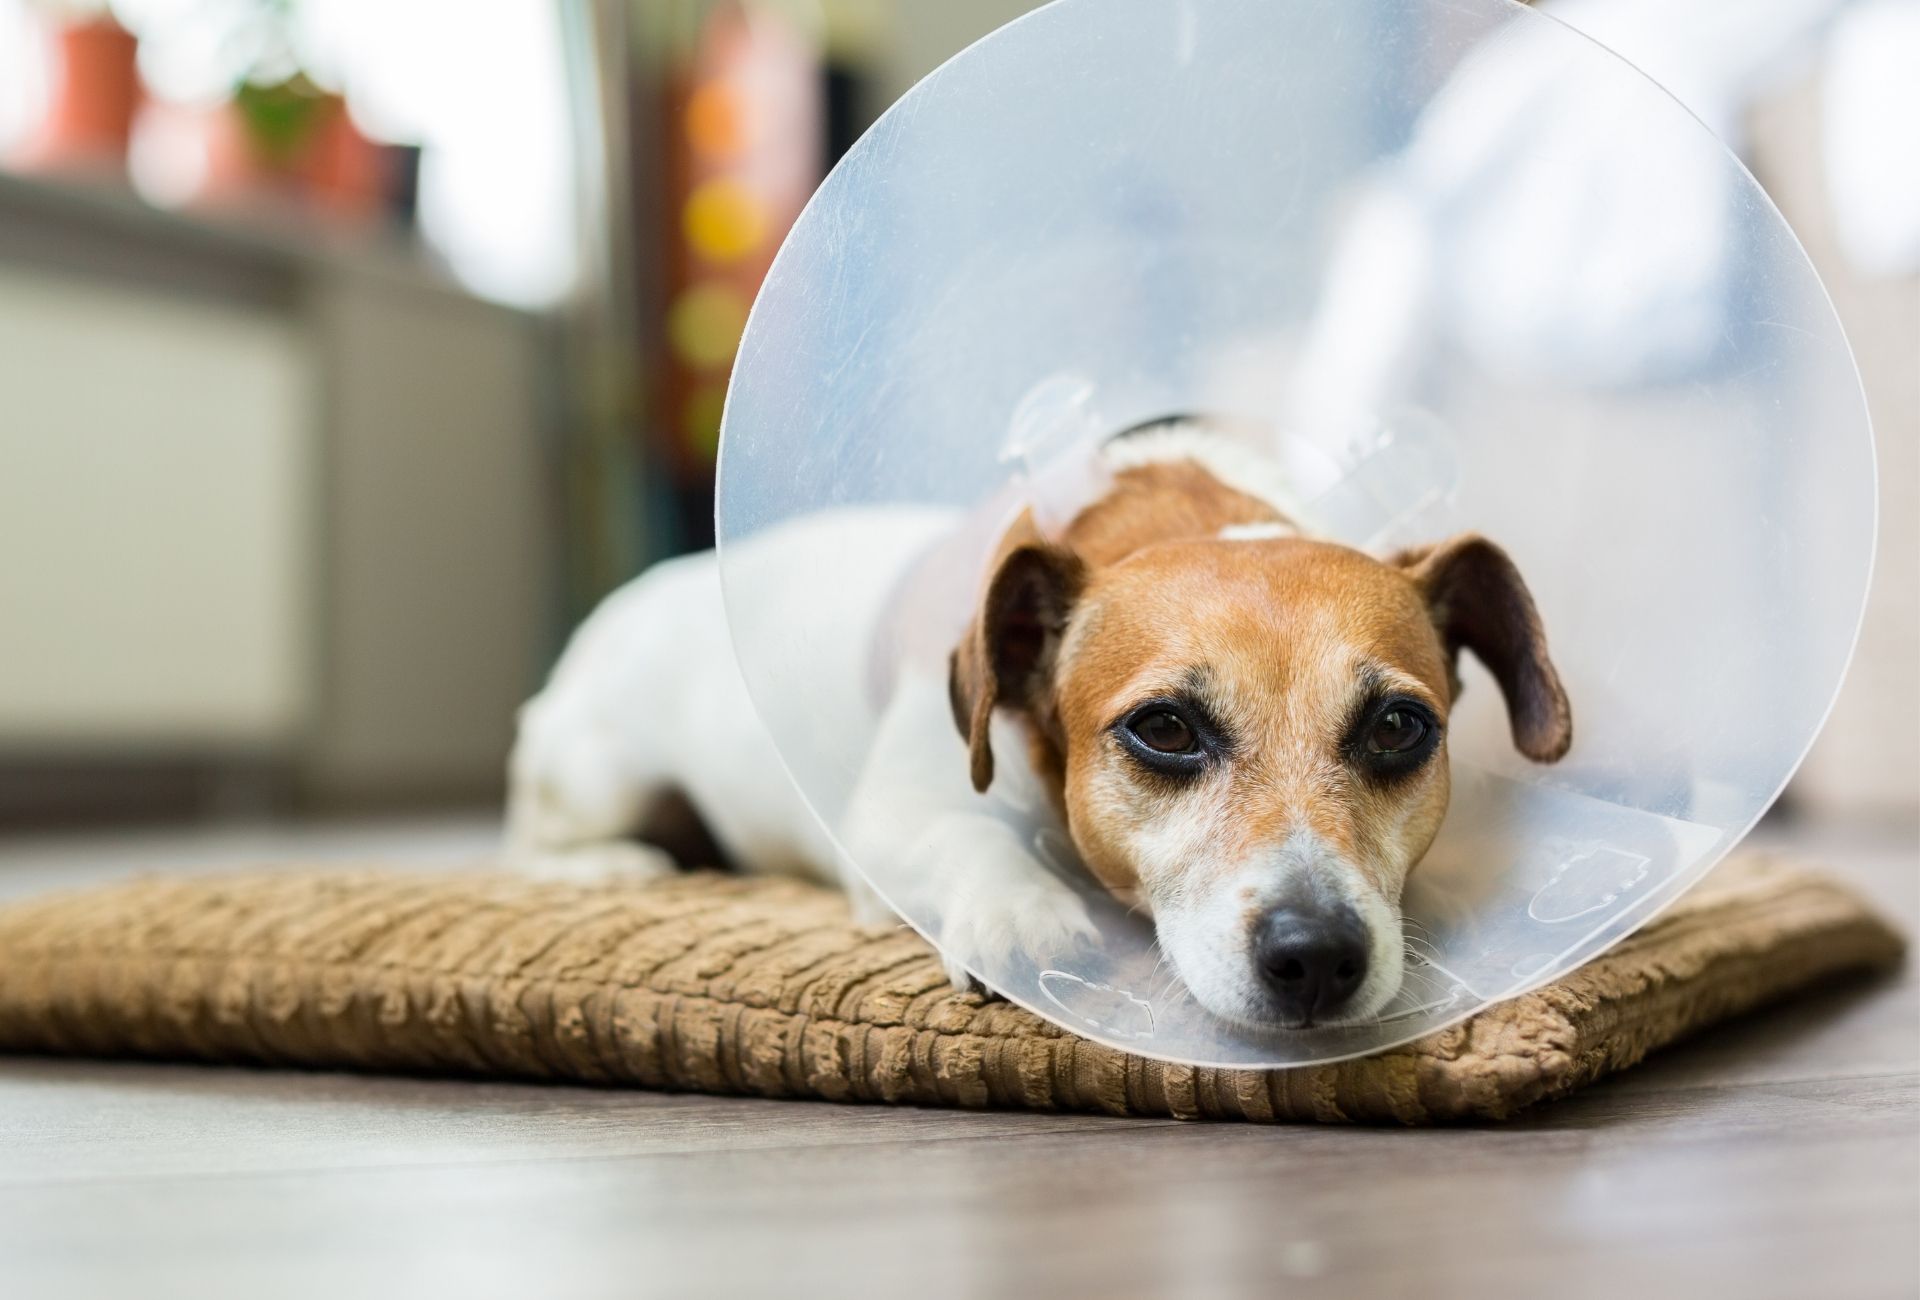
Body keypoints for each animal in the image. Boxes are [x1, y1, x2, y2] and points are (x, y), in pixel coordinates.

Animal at [510, 420, 1574, 1029]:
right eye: (1165, 729)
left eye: (1398, 727)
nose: (1315, 956)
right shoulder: (890, 822)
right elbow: (967, 840)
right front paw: (1020, 911)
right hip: (599, 772)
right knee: (536, 836)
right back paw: (617, 865)